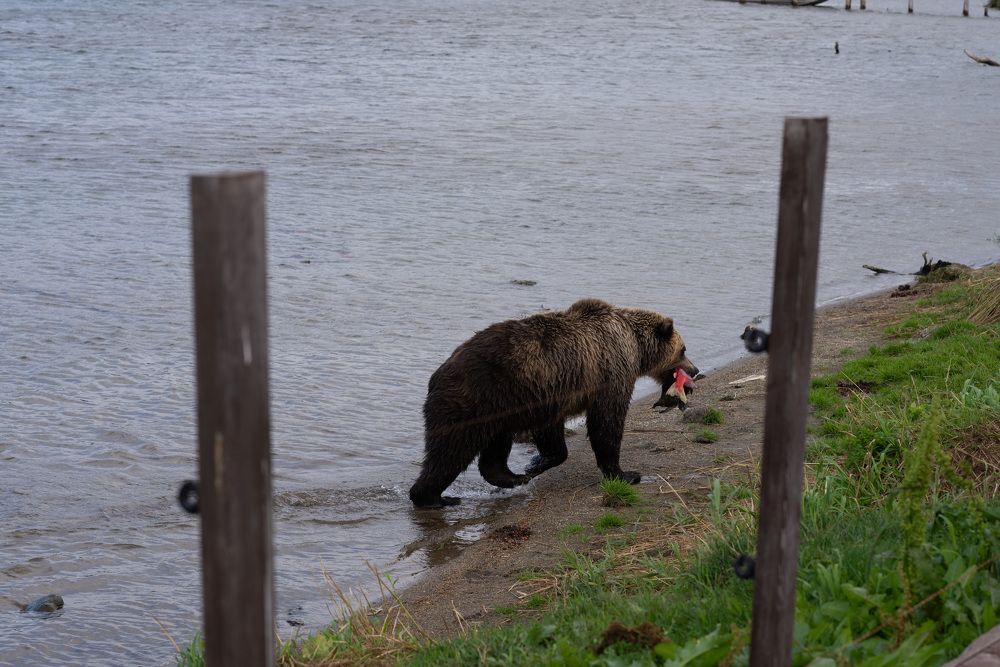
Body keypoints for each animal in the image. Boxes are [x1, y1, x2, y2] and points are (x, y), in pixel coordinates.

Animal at [409, 298, 699, 508]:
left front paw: (535, 463)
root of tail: (437, 375)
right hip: (475, 398)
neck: (634, 347)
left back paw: (511, 477)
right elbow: (606, 422)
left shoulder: (551, 393)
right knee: (451, 450)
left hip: (500, 407)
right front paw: (626, 473)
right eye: (683, 349)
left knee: (494, 445)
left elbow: (552, 435)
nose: (695, 370)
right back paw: (434, 498)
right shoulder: (609, 372)